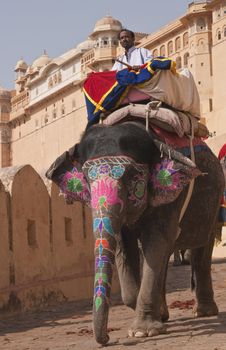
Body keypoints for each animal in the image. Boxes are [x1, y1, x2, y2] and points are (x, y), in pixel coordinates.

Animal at [46, 120, 224, 344]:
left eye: (133, 176)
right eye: (85, 178)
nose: (107, 339)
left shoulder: (171, 195)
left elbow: (156, 241)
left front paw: (142, 332)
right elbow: (125, 246)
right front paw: (156, 317)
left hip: (216, 201)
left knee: (202, 248)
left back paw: (203, 312)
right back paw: (165, 314)